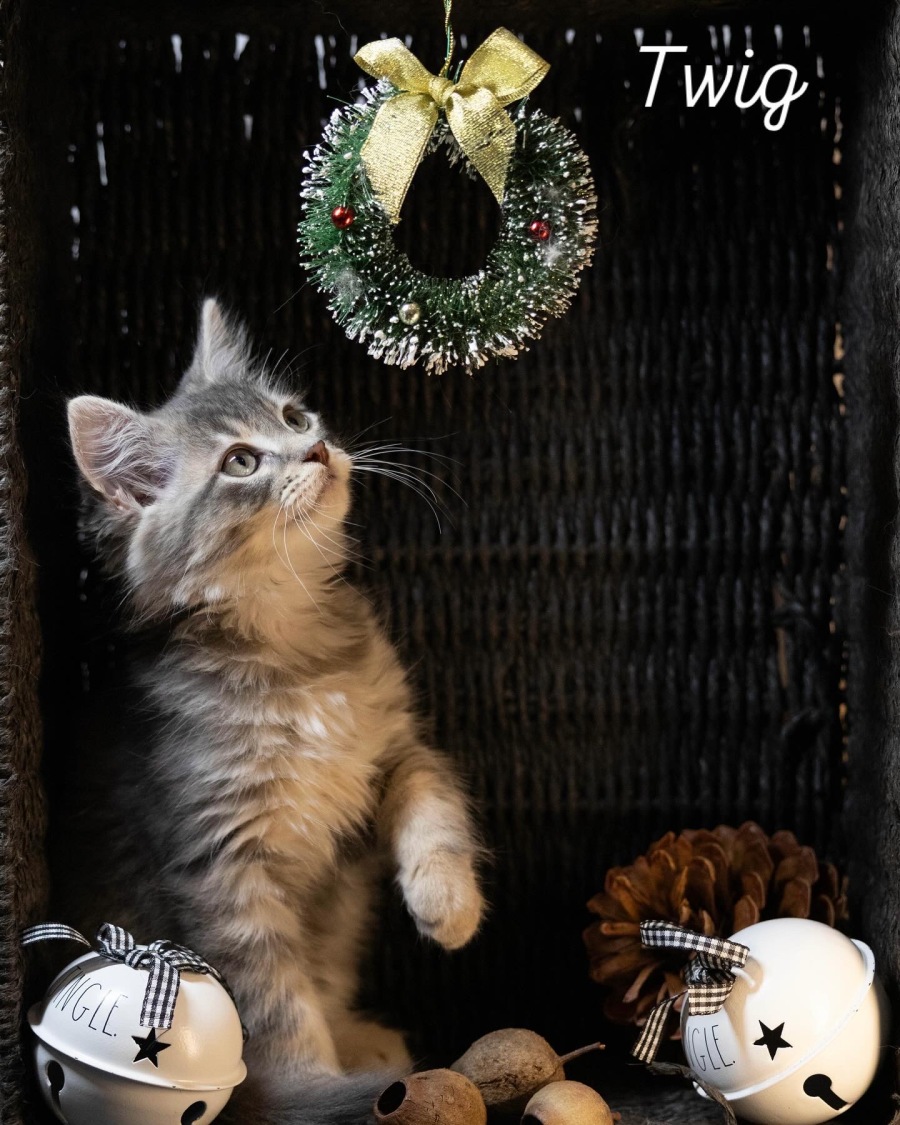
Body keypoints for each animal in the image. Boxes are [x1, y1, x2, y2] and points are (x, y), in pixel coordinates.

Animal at [60, 298, 486, 1124]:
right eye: (240, 462)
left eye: (292, 415)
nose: (316, 449)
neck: (293, 653)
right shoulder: (221, 865)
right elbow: (272, 999)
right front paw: (307, 1085)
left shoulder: (393, 751)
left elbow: (434, 804)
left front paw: (447, 902)